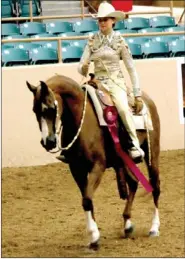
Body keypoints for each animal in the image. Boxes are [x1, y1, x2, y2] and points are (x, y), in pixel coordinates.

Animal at [26, 74, 160, 250]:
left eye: (51, 108)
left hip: (152, 155)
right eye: (35, 110)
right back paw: (127, 225)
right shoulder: (77, 169)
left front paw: (95, 236)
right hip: (123, 161)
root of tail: (146, 99)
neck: (81, 122)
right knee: (133, 183)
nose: (48, 142)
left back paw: (154, 228)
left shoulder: (98, 167)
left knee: (155, 187)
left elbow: (87, 199)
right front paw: (93, 236)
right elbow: (86, 200)